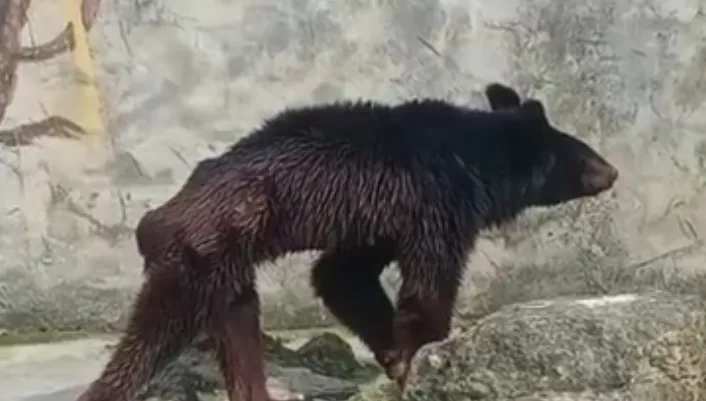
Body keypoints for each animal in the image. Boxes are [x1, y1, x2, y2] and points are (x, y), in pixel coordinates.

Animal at [76, 82, 618, 401]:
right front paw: (418, 355)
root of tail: (155, 218)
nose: (612, 172)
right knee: (152, 337)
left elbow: (343, 275)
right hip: (201, 253)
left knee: (239, 332)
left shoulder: (376, 217)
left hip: (229, 272)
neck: (480, 160)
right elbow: (429, 279)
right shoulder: (435, 200)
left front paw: (395, 356)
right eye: (585, 156)